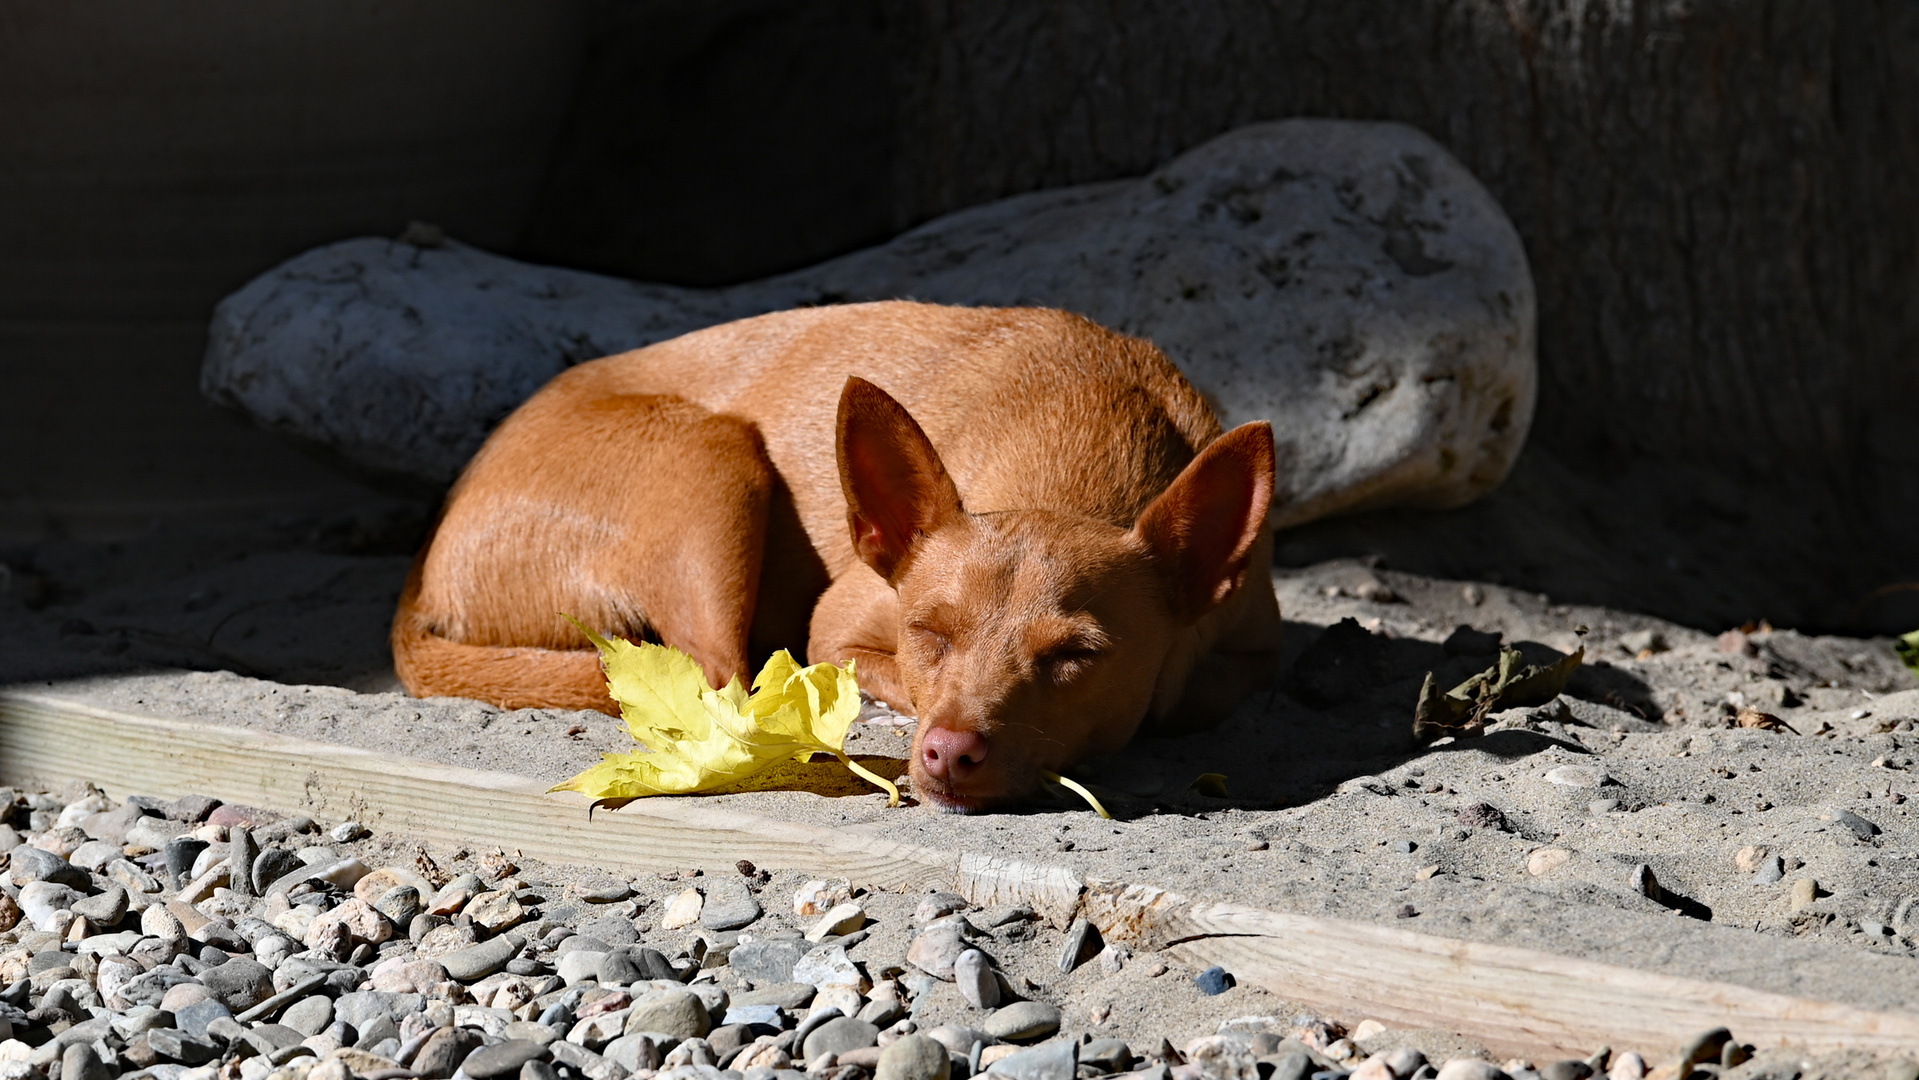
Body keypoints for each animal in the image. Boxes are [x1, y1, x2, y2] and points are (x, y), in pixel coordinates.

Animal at [395, 299, 1281, 805]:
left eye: (1078, 656)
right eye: (928, 633)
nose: (949, 754)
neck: (1079, 460)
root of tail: (428, 562)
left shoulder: (1246, 644)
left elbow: (1198, 691)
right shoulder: (840, 626)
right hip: (715, 457)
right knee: (725, 676)